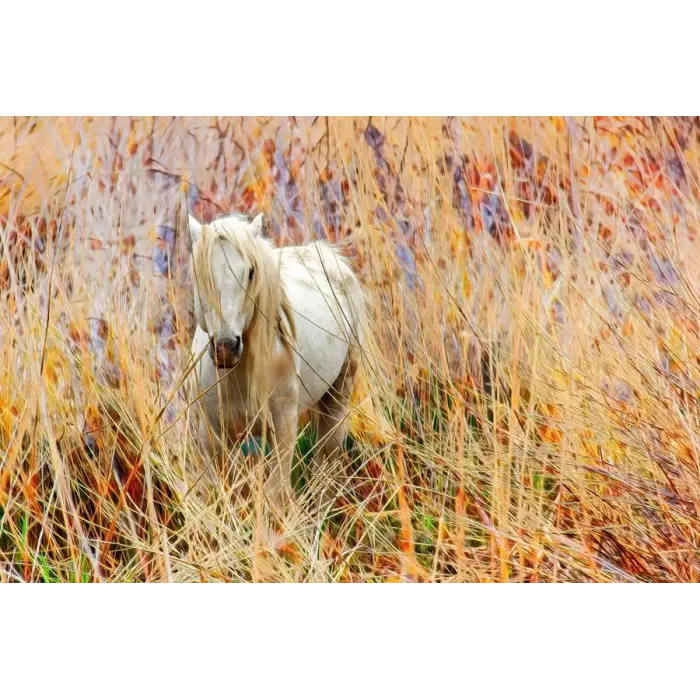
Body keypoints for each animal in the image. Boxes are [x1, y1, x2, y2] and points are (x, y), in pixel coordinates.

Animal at [175, 191, 366, 516]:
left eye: (251, 272)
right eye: (200, 275)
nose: (226, 347)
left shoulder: (282, 427)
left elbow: (276, 496)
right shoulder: (212, 435)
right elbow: (225, 495)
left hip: (339, 394)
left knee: (326, 460)